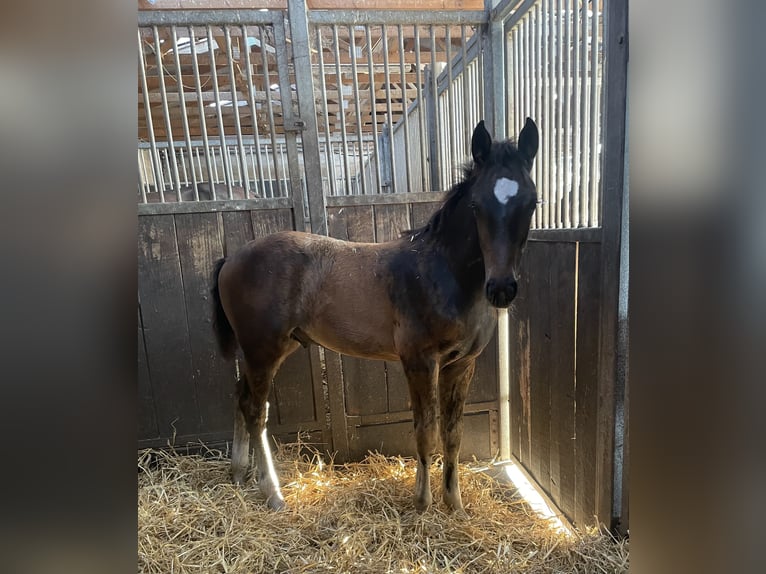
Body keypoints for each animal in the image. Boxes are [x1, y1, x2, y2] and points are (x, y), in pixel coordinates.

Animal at [207, 120, 536, 512]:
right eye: (476, 204)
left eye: (532, 202)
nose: (501, 288)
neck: (441, 272)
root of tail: (231, 258)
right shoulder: (419, 361)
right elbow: (426, 431)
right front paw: (421, 504)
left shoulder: (461, 363)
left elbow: (452, 433)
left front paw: (454, 504)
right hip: (262, 349)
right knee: (256, 411)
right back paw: (272, 493)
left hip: (272, 348)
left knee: (241, 398)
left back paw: (238, 473)